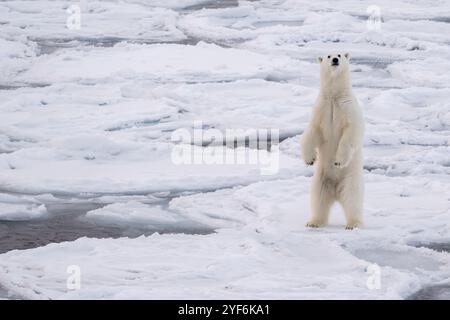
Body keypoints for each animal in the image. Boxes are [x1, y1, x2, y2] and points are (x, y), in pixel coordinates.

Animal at [300, 52, 364, 229]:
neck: (334, 97)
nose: (335, 60)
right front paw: (309, 159)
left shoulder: (348, 108)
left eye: (340, 54)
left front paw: (338, 161)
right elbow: (312, 131)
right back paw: (314, 222)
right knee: (318, 199)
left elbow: (351, 132)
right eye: (329, 56)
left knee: (353, 199)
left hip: (351, 178)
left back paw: (353, 224)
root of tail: (336, 192)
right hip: (320, 180)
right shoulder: (322, 108)